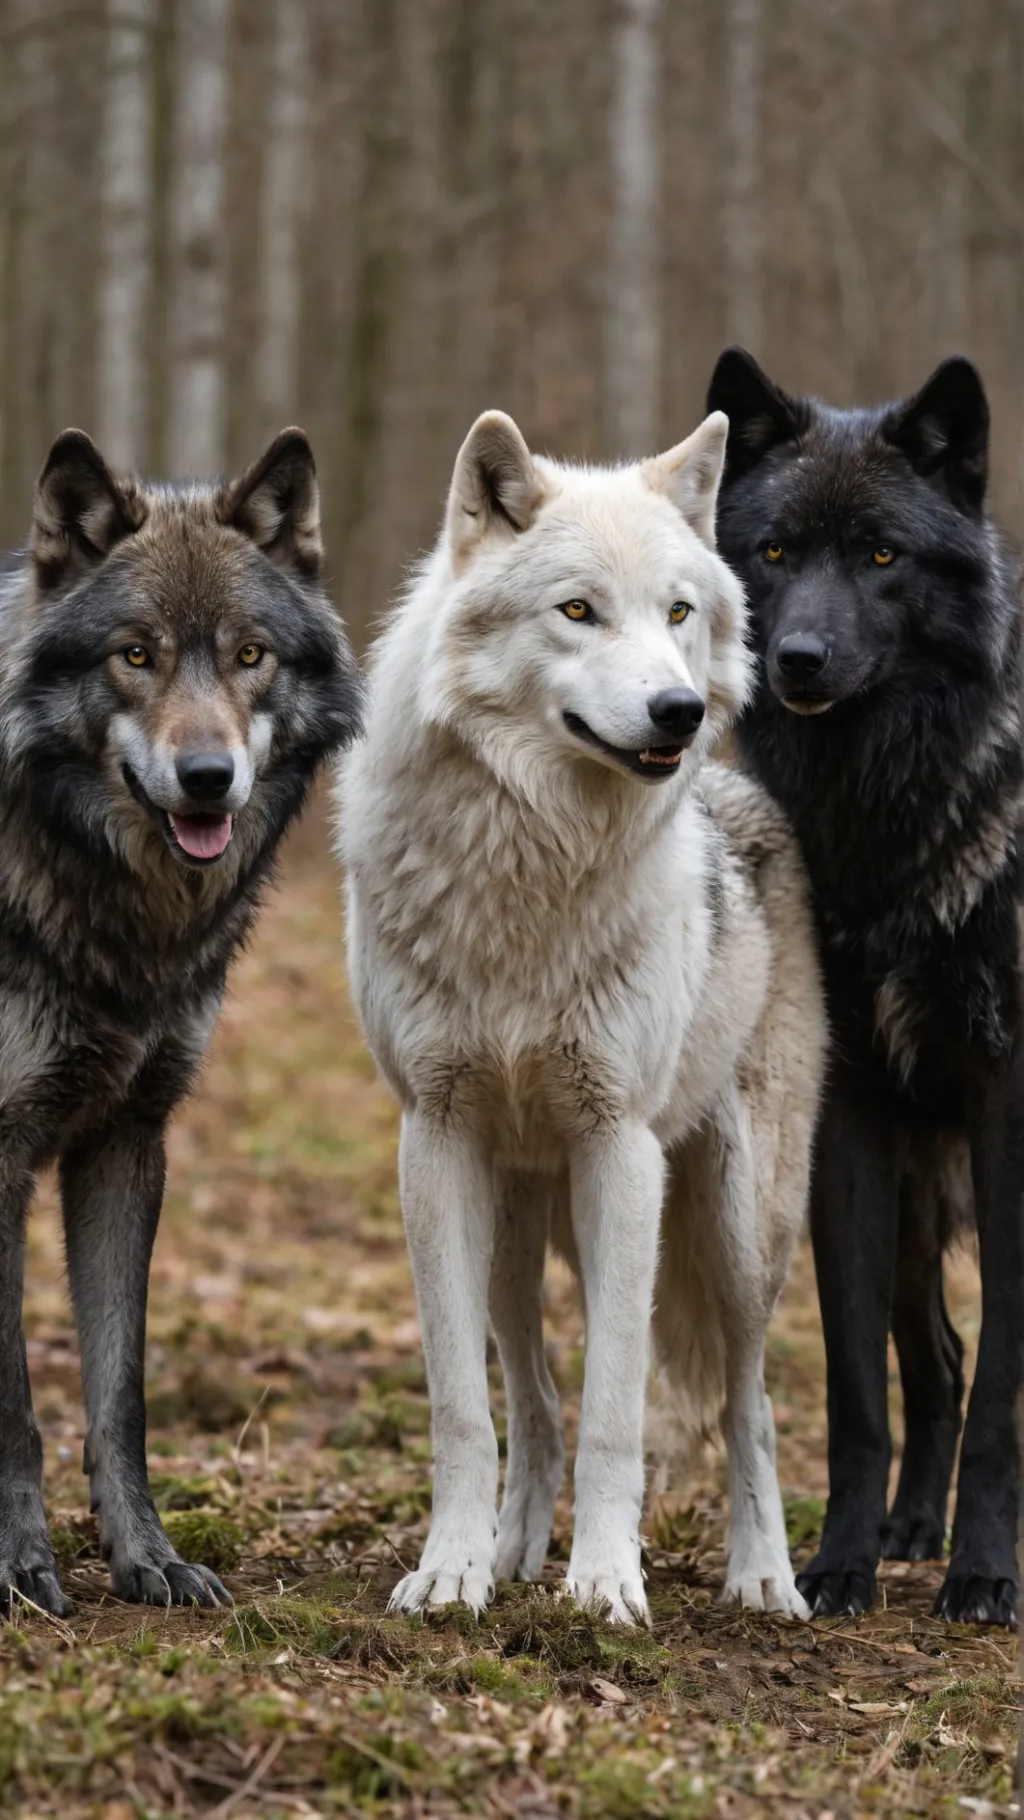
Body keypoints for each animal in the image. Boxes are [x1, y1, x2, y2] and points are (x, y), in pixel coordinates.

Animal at [0, 426, 361, 1615]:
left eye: (250, 655)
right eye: (135, 655)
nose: (208, 778)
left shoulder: (127, 1138)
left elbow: (120, 1393)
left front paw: (146, 1558)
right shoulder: (1, 1152)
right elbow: (18, 1405)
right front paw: (21, 1564)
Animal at [338, 408, 825, 1624]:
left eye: (678, 613)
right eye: (577, 611)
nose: (677, 712)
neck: (533, 862)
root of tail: (741, 793)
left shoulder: (621, 1152)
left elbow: (618, 1407)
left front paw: (605, 1585)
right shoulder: (434, 1141)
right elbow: (467, 1408)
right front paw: (453, 1571)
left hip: (736, 1226)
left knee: (745, 1405)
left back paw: (764, 1576)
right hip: (513, 1229)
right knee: (533, 1396)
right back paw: (513, 1549)